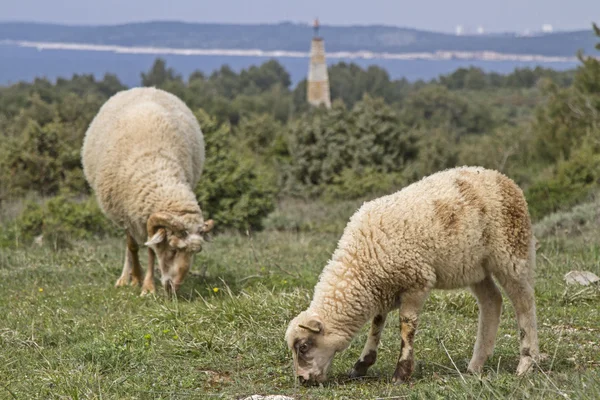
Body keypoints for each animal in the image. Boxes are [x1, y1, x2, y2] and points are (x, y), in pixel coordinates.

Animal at [82, 86, 213, 296]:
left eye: (195, 252)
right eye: (173, 249)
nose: (174, 288)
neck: (156, 167)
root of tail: (146, 88)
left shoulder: (145, 219)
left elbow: (151, 251)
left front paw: (148, 286)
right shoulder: (126, 213)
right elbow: (133, 246)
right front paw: (137, 278)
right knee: (129, 247)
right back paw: (125, 278)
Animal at [286, 166, 540, 384]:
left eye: (303, 347)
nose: (302, 379)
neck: (362, 260)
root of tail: (503, 178)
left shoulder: (416, 282)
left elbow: (406, 327)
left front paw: (402, 372)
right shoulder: (384, 286)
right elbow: (377, 323)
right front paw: (363, 364)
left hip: (511, 251)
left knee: (524, 303)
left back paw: (526, 363)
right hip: (475, 266)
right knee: (491, 301)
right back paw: (475, 365)